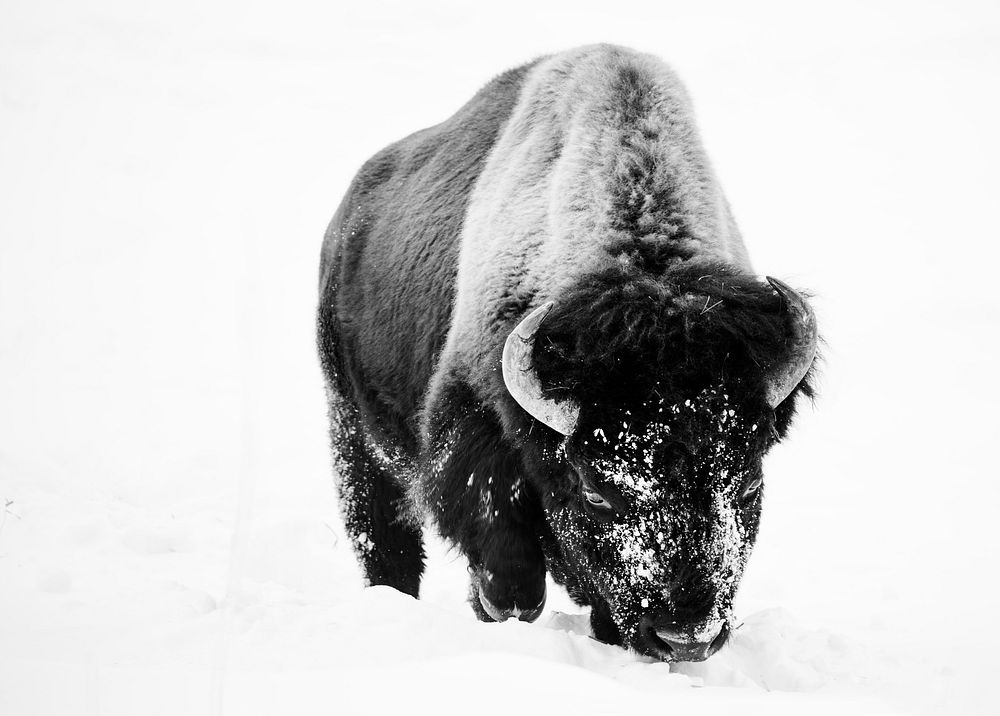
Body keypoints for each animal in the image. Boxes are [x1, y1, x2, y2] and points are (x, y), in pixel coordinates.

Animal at [316, 43, 816, 660]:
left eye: (747, 485)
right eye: (597, 492)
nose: (686, 637)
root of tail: (347, 218)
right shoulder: (472, 432)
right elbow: (512, 577)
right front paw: (502, 608)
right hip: (353, 432)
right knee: (386, 541)